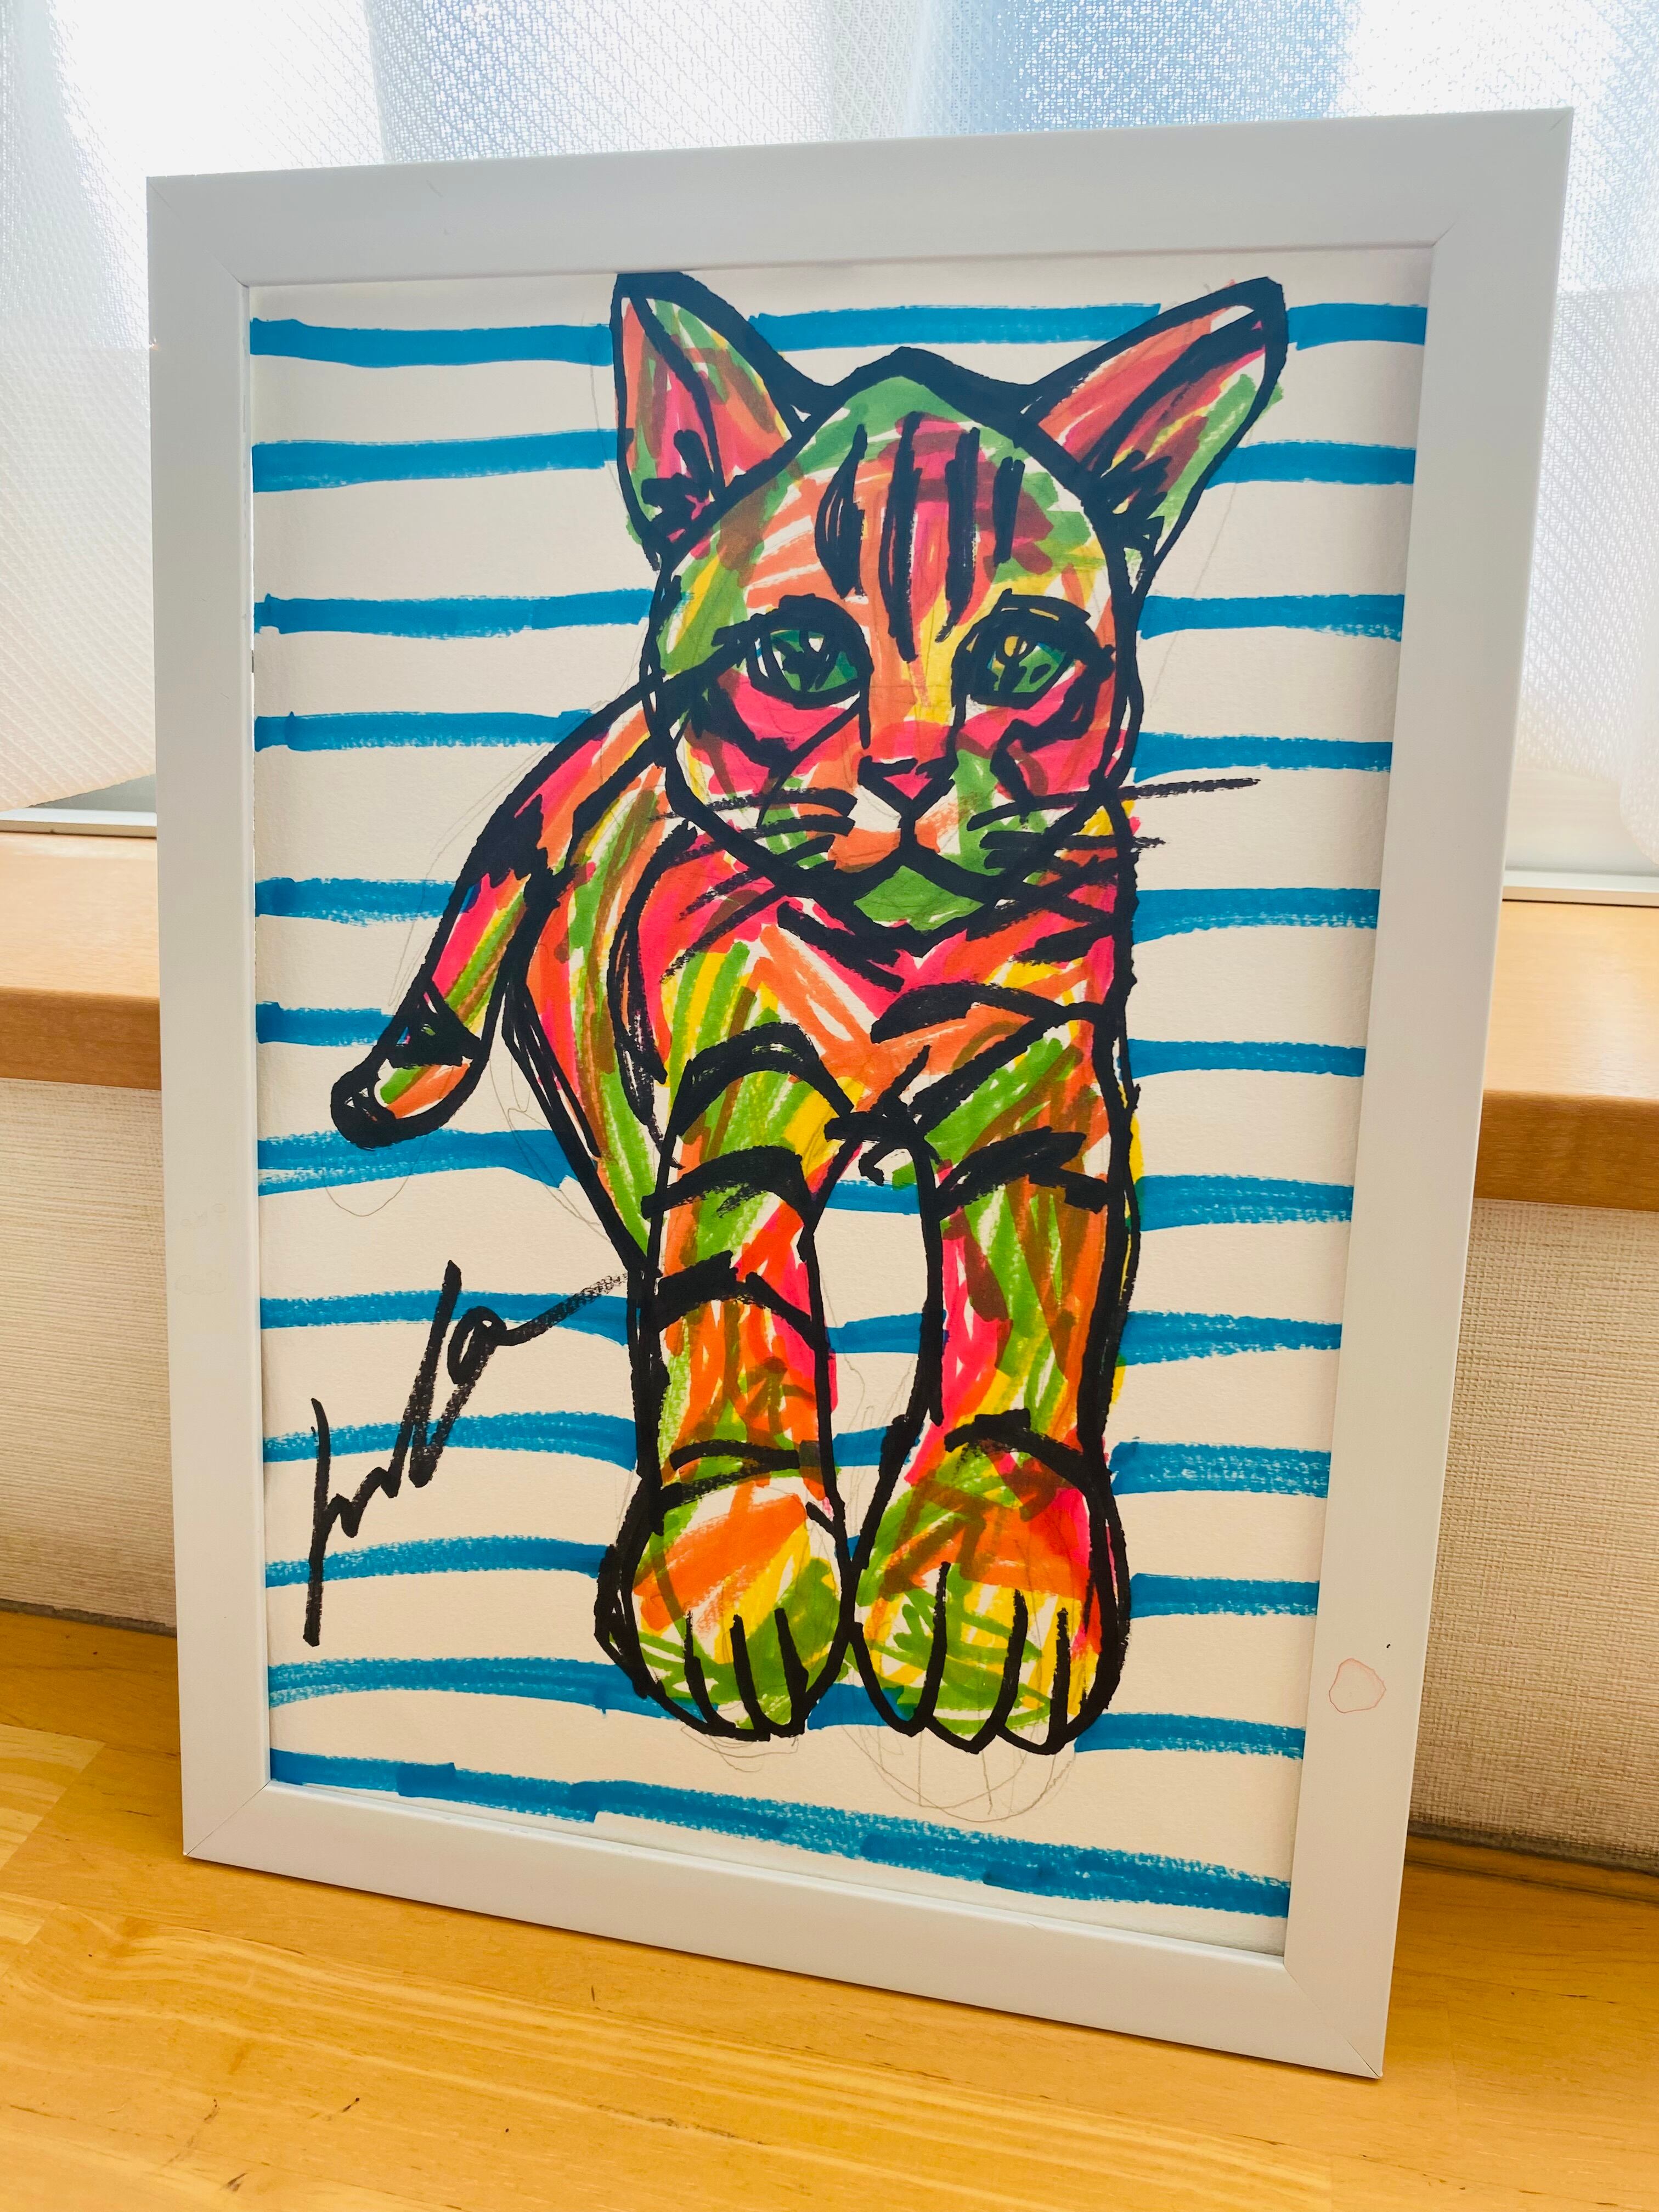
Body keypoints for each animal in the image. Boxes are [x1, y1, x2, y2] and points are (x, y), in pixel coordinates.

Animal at [332, 270, 1286, 1752]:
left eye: (1021, 658)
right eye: (799, 653)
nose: (906, 773)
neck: (895, 961)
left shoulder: (1046, 1101)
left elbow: (1027, 1342)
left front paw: (990, 1578)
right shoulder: (744, 1087)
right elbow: (736, 1311)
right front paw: (737, 1573)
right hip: (525, 834)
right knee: (470, 948)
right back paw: (405, 1081)